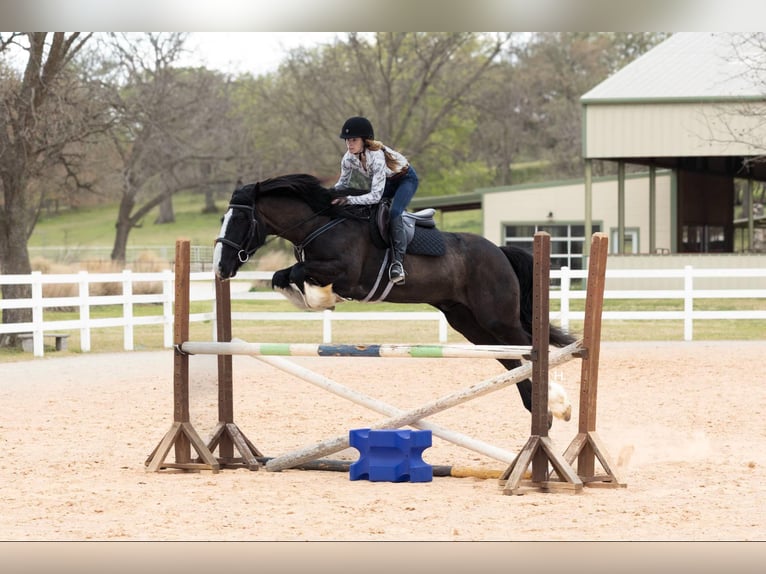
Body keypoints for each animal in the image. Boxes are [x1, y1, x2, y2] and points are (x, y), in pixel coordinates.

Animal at [213, 173, 576, 425]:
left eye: (240, 219)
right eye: (222, 219)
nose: (220, 266)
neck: (321, 224)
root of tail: (499, 251)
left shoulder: (346, 275)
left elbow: (301, 273)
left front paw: (322, 297)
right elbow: (284, 276)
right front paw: (311, 298)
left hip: (497, 318)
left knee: (530, 347)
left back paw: (558, 404)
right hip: (468, 323)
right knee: (512, 359)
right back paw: (540, 411)